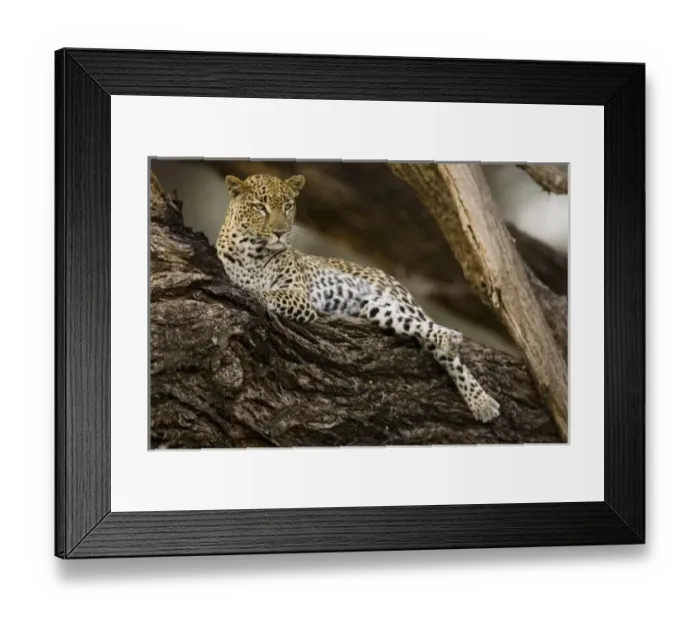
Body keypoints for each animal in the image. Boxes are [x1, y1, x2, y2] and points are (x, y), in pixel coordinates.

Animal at [215, 173, 501, 423]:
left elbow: (266, 291)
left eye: (287, 206)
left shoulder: (299, 295)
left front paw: (250, 290)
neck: (254, 254)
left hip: (397, 301)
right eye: (259, 207)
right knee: (420, 330)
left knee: (448, 354)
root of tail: (388, 276)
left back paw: (480, 400)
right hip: (378, 309)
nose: (280, 232)